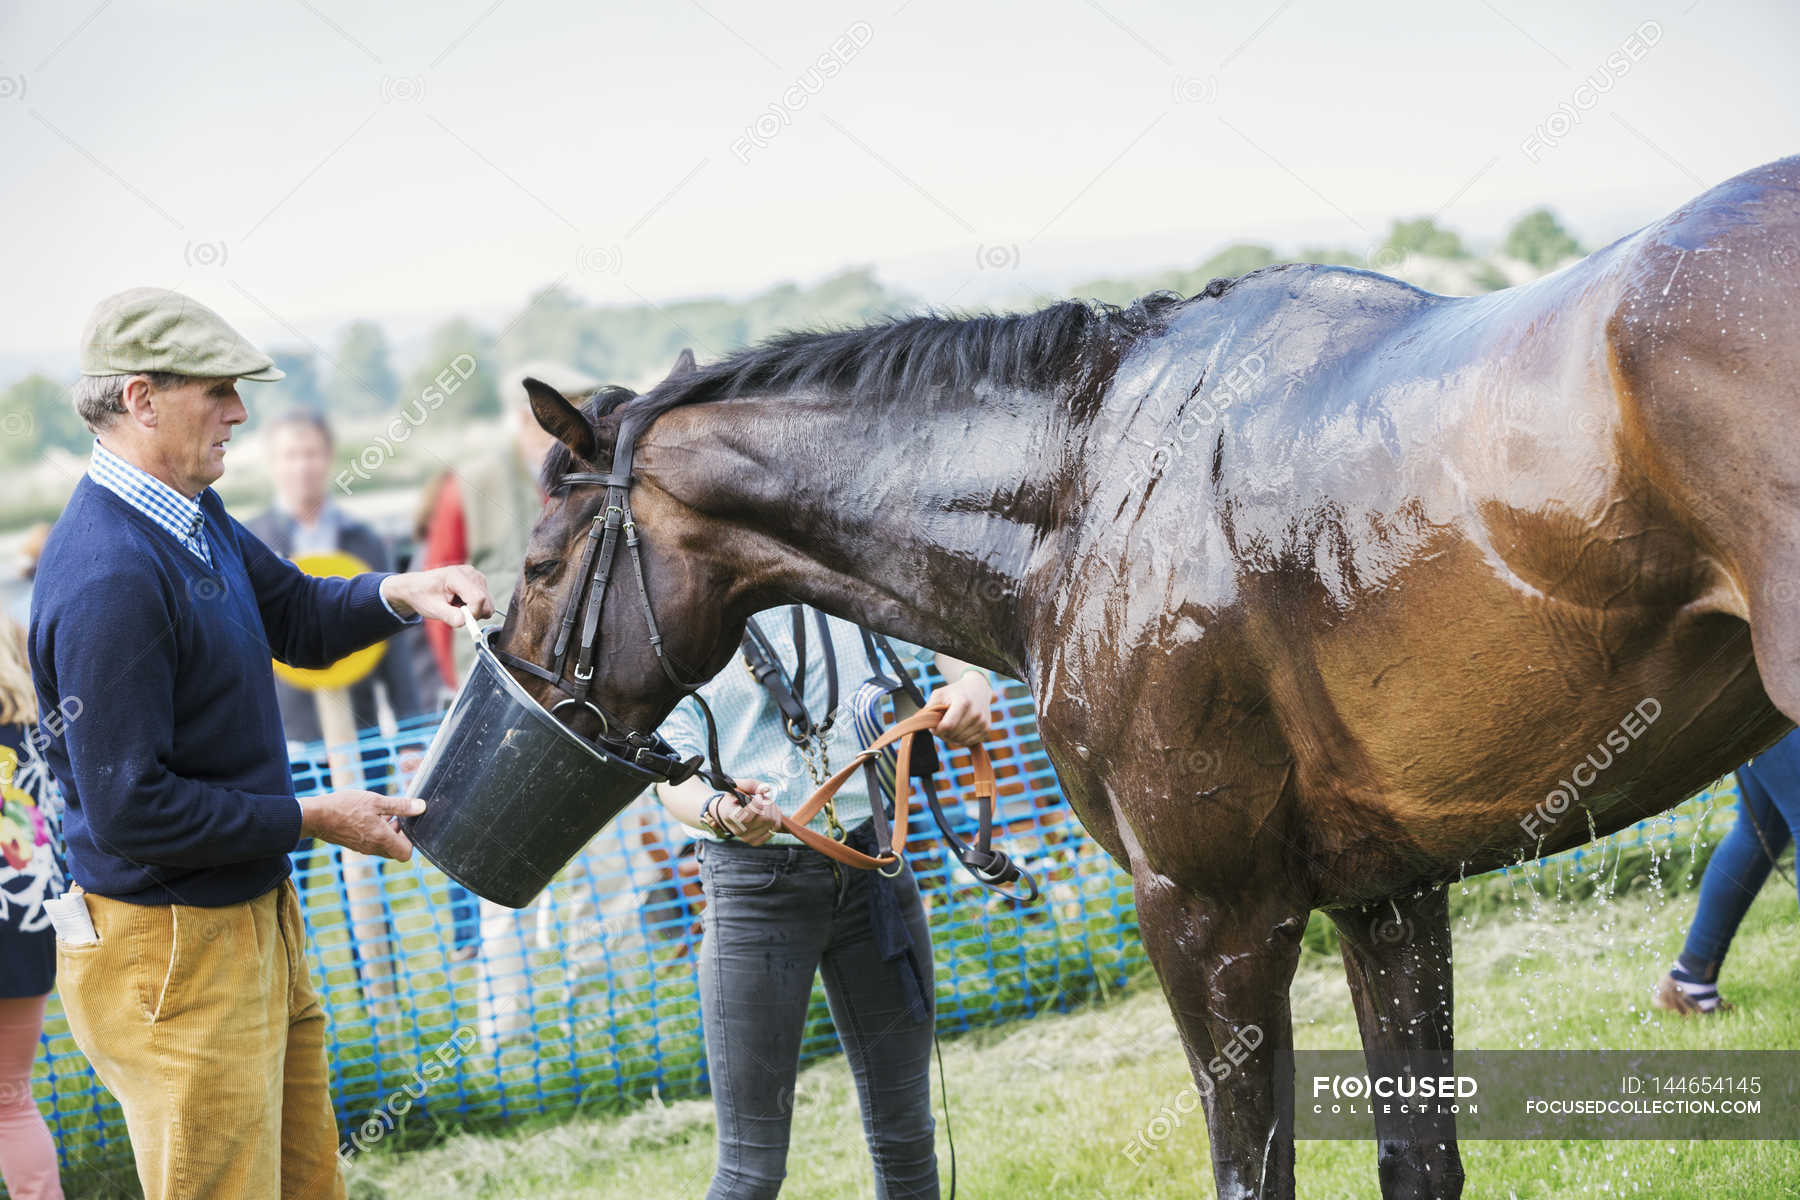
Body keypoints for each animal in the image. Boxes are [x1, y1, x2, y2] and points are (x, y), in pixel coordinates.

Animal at [491, 155, 1800, 1198]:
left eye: (542, 562)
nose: (515, 682)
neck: (1088, 485)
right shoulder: (1388, 896)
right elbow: (1416, 1158)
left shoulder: (1207, 912)